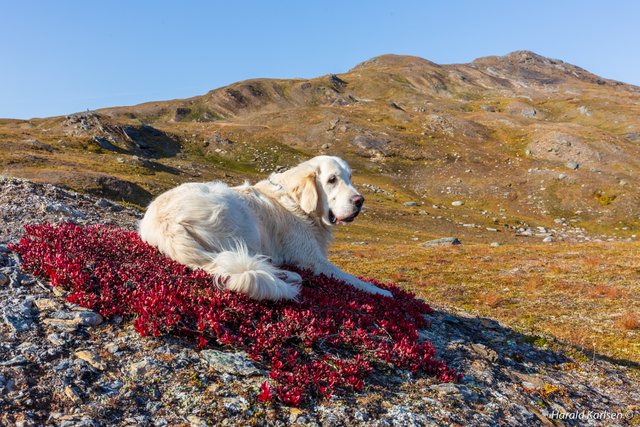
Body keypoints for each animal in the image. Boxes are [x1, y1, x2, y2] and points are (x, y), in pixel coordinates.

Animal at [138, 156, 392, 300]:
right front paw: (383, 292)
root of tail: (165, 221)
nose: (360, 201)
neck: (296, 202)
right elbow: (355, 280)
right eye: (332, 180)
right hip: (241, 220)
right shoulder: (313, 260)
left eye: (349, 177)